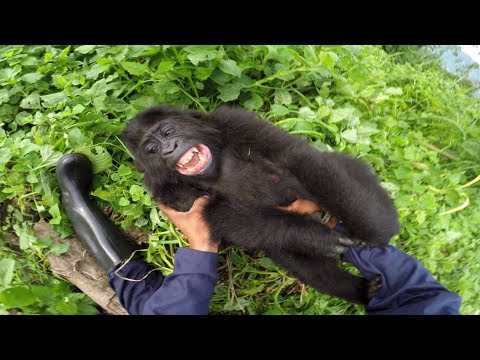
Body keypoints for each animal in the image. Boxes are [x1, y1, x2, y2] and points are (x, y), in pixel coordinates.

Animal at [122, 105, 400, 304]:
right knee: (289, 253)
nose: (169, 149)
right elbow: (220, 217)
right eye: (152, 149)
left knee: (344, 164)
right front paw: (316, 238)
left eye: (168, 132)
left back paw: (384, 220)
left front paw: (372, 232)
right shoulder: (168, 193)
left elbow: (293, 155)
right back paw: (361, 291)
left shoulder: (233, 120)